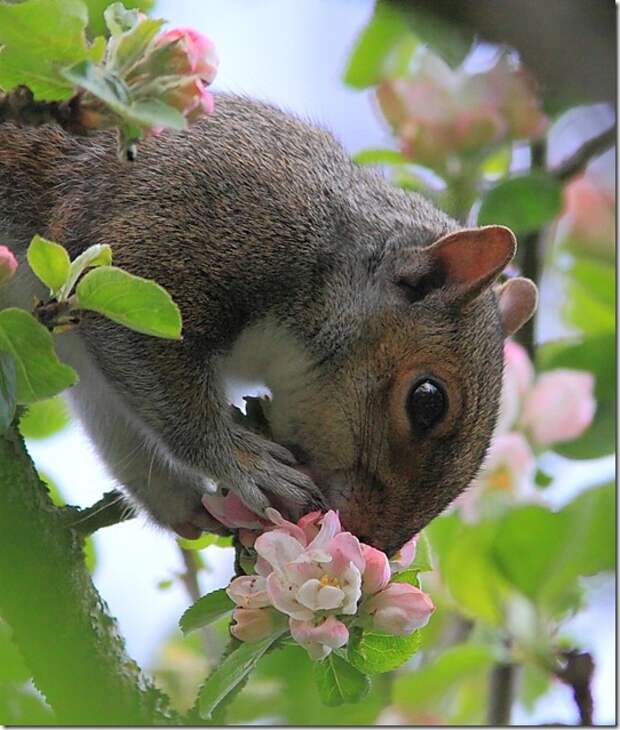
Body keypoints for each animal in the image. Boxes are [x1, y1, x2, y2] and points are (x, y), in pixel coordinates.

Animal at [0, 95, 536, 552]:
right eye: (427, 401)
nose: (369, 541)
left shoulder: (82, 352)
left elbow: (117, 427)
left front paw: (183, 503)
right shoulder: (177, 241)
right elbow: (165, 392)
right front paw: (244, 462)